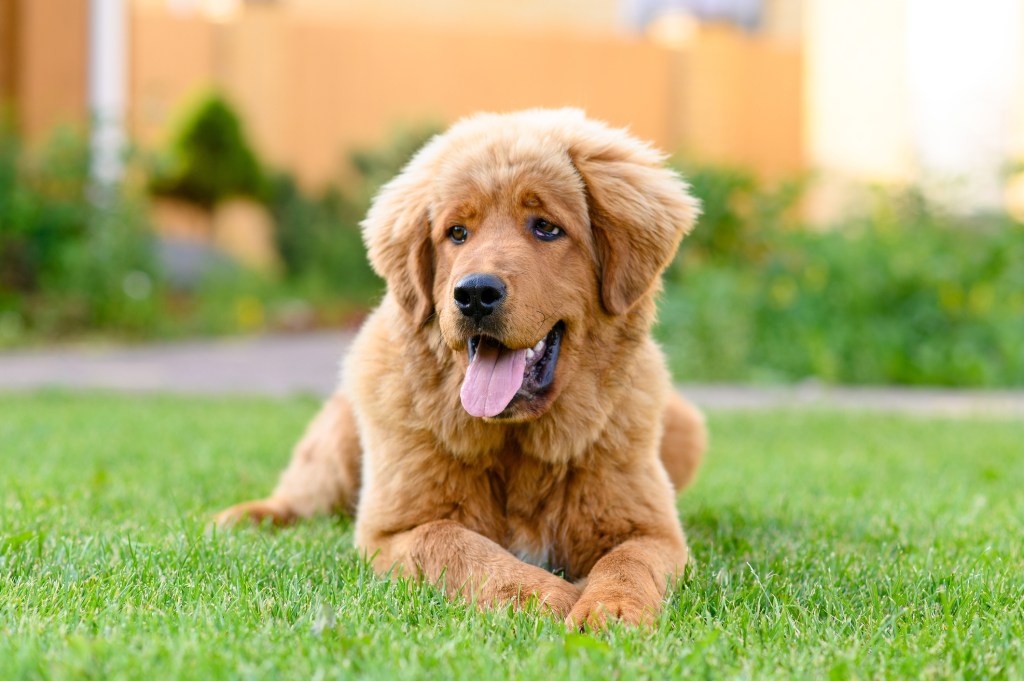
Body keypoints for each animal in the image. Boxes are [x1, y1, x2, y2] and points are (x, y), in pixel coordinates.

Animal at [216, 110, 708, 626]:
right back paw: (239, 518)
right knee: (301, 496)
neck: (516, 444)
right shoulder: (393, 530)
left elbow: (627, 563)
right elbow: (456, 545)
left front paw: (609, 610)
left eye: (546, 227)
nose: (474, 293)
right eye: (457, 233)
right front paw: (546, 596)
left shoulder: (649, 529)